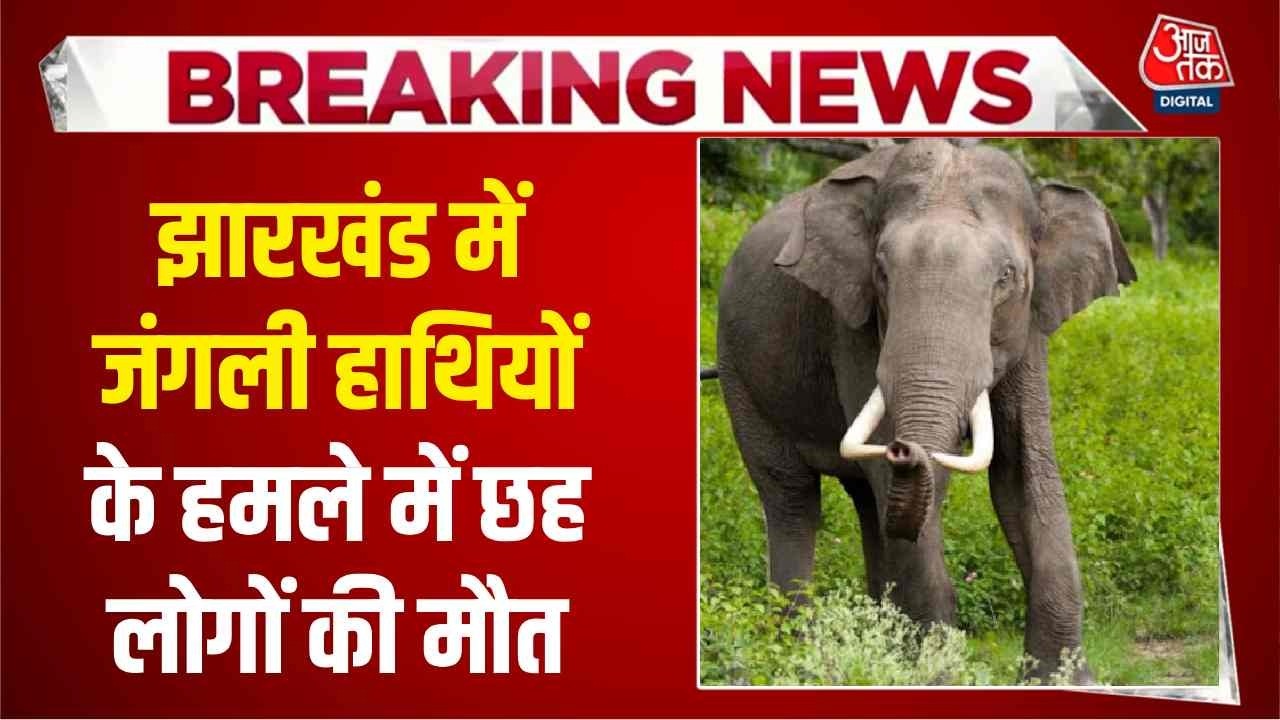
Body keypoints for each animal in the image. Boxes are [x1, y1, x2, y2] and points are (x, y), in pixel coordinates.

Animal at [713, 138, 1135, 683]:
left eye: (1007, 278)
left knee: (867, 503)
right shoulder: (852, 323)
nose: (903, 448)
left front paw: (1064, 681)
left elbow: (1024, 473)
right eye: (881, 273)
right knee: (792, 496)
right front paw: (936, 676)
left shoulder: (1030, 328)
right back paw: (798, 657)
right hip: (739, 372)